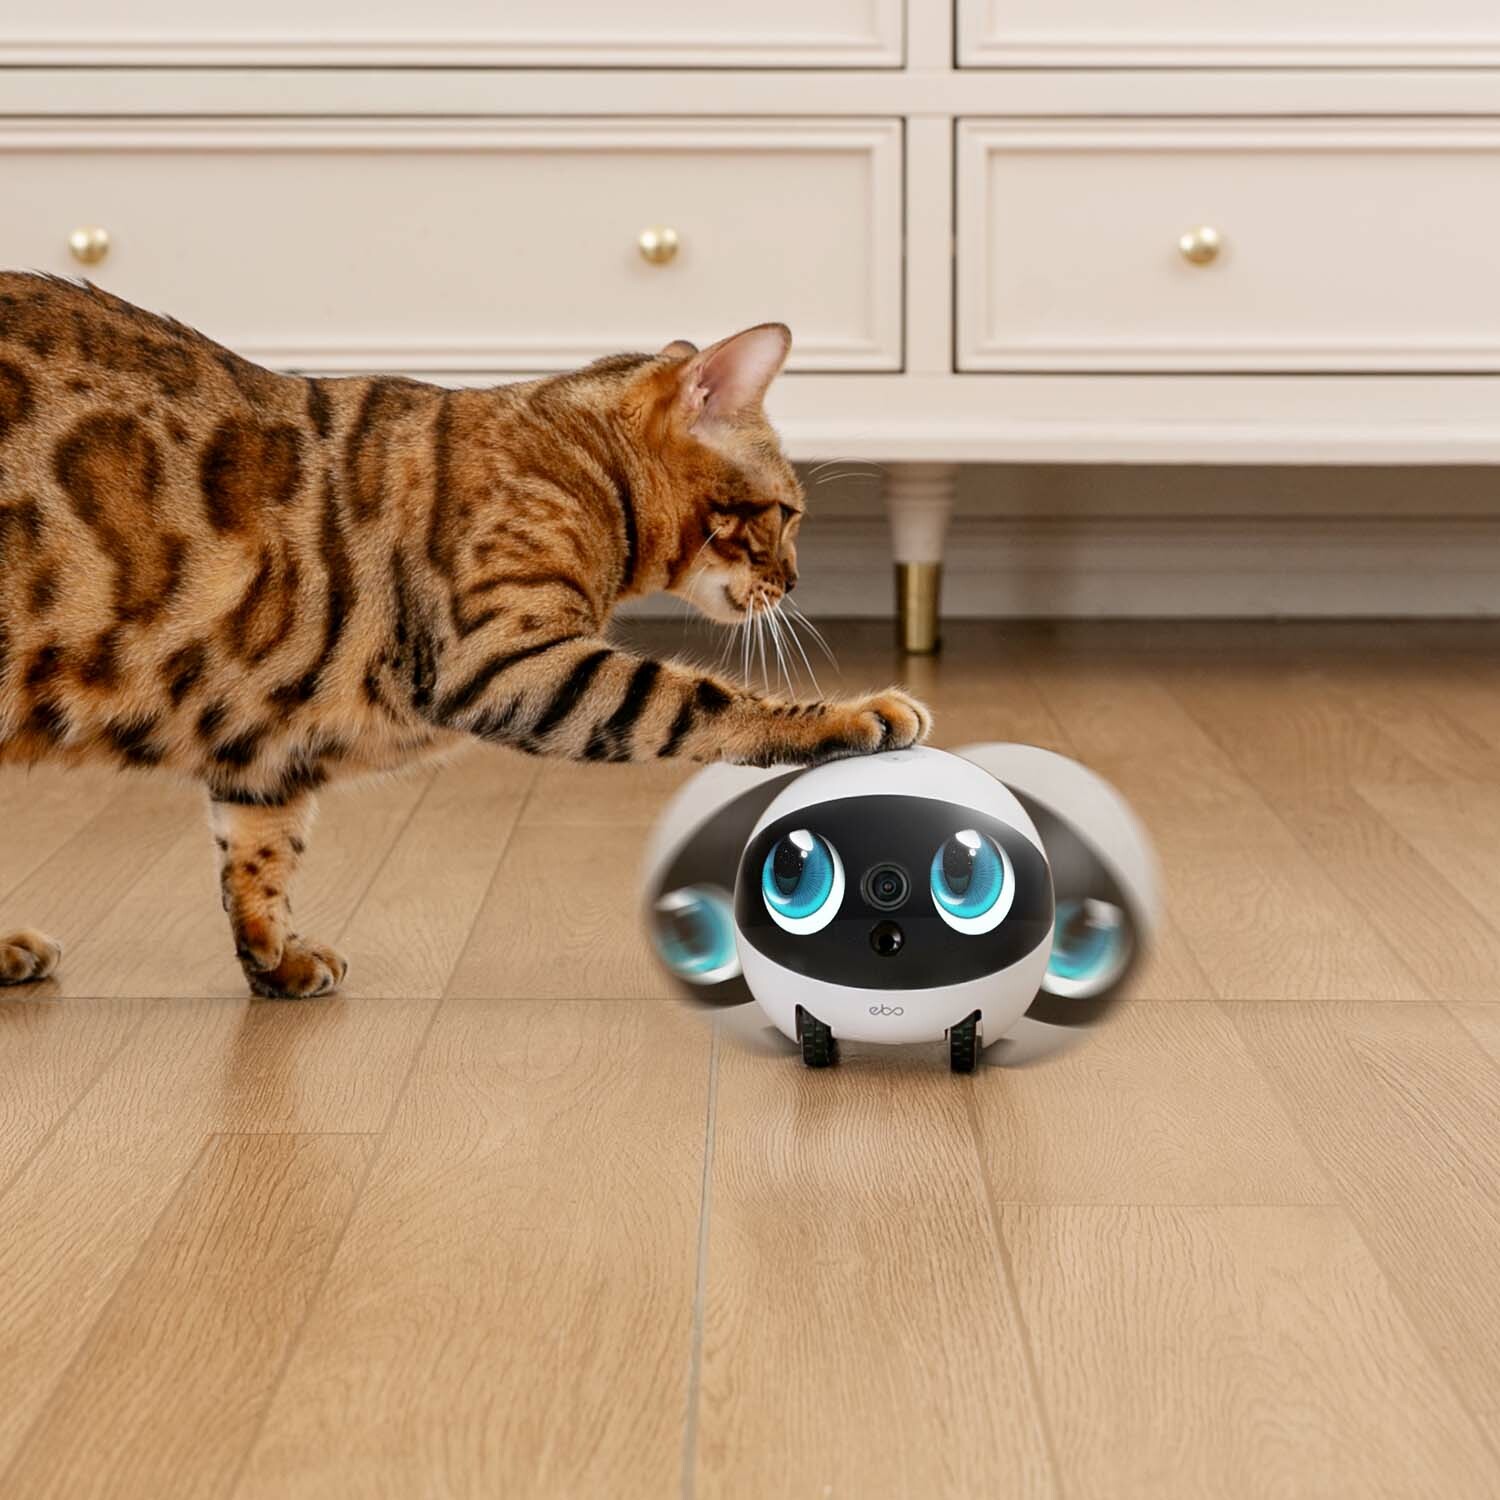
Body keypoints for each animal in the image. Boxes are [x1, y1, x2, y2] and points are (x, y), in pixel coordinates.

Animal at [0, 273, 930, 997]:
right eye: (788, 514)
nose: (797, 581)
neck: (576, 460)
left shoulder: (260, 742)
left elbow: (260, 850)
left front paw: (275, 958)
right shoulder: (507, 658)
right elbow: (696, 699)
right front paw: (851, 716)